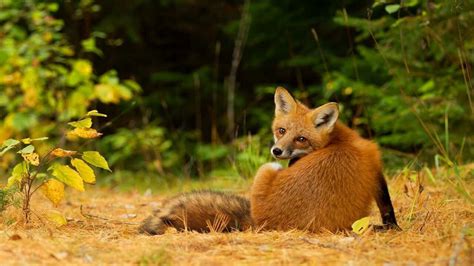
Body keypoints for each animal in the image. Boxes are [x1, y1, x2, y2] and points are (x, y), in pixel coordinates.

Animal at [139, 87, 398, 235]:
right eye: (281, 130)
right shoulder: (375, 167)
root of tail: (261, 221)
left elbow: (386, 204)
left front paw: (391, 227)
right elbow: (386, 204)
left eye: (301, 138)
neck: (339, 140)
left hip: (267, 168)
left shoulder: (374, 164)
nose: (277, 151)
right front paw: (392, 227)